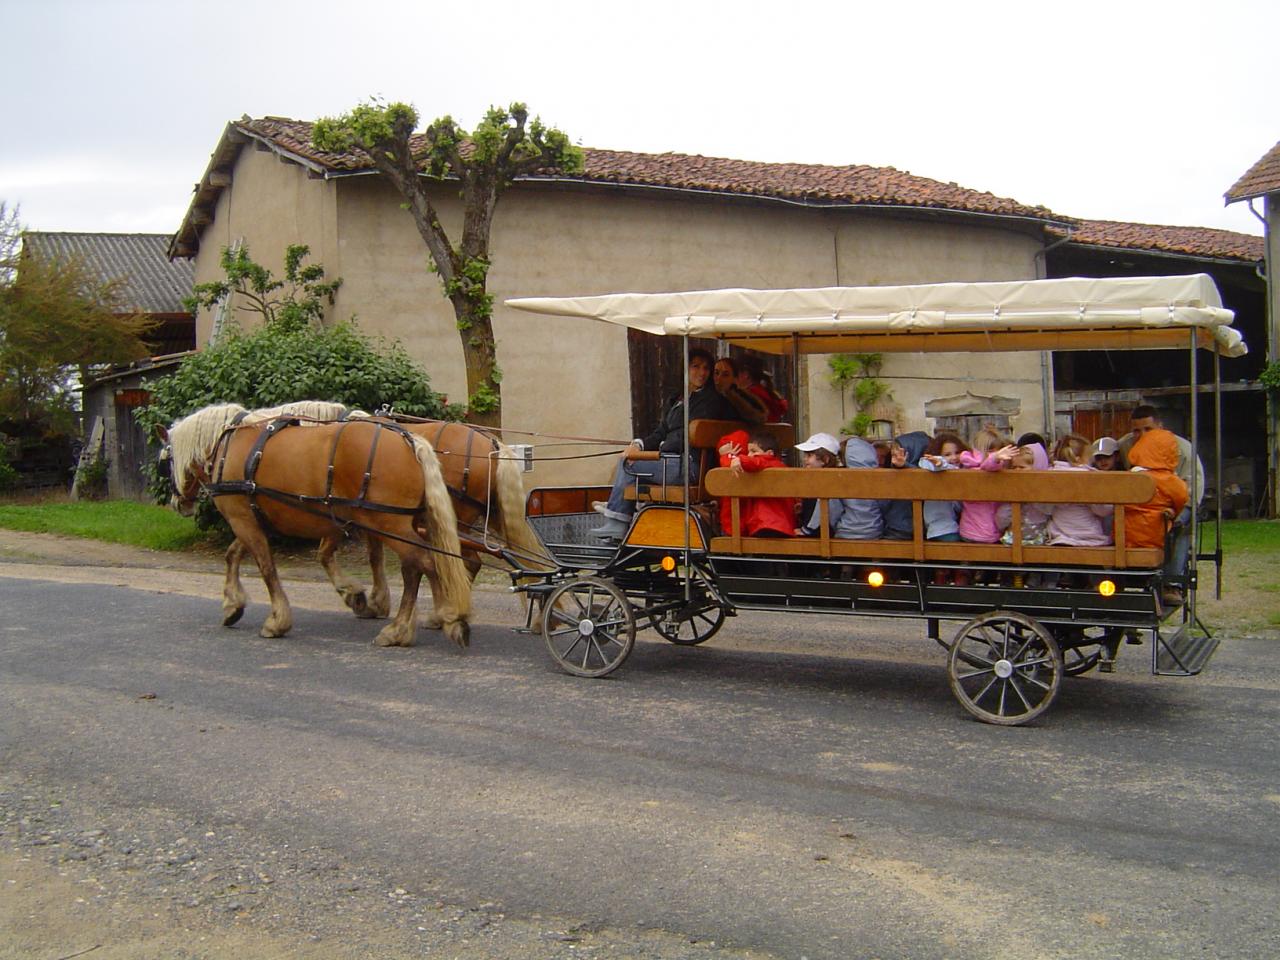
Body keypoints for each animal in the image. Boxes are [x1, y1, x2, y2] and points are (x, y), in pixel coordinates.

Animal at [162, 401, 473, 650]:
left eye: (167, 460)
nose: (179, 503)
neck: (228, 445)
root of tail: (409, 440)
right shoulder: (254, 518)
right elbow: (233, 555)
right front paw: (232, 605)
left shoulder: (242, 519)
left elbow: (266, 567)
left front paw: (277, 620)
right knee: (423, 565)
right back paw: (433, 618)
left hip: (389, 523)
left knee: (422, 563)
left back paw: (419, 625)